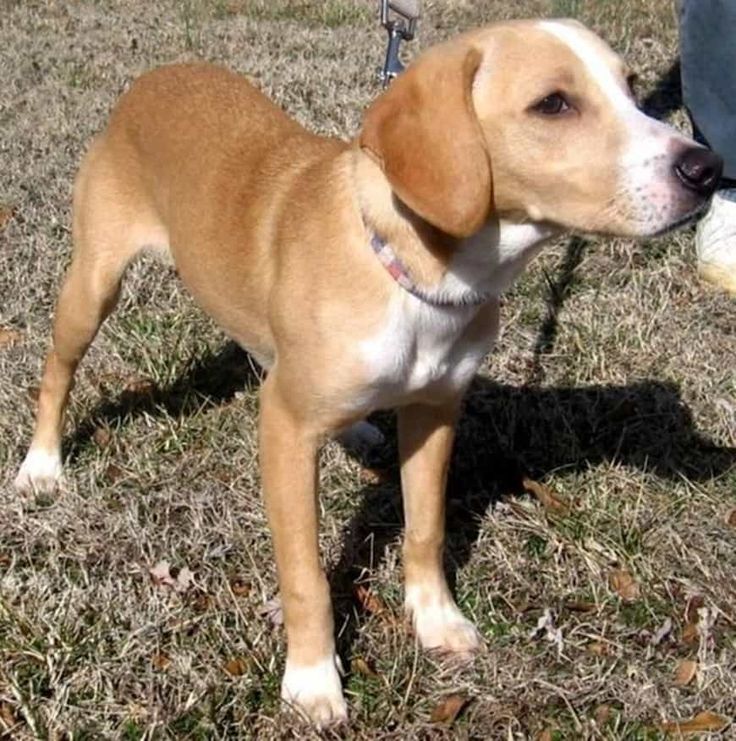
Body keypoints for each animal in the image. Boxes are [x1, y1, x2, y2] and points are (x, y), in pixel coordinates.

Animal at [14, 18, 720, 724]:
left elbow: (427, 529)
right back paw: (41, 466)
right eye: (553, 104)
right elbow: (304, 576)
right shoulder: (285, 432)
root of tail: (156, 77)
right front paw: (311, 680)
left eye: (631, 87)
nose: (708, 168)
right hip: (92, 286)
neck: (421, 279)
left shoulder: (435, 412)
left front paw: (435, 621)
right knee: (56, 373)